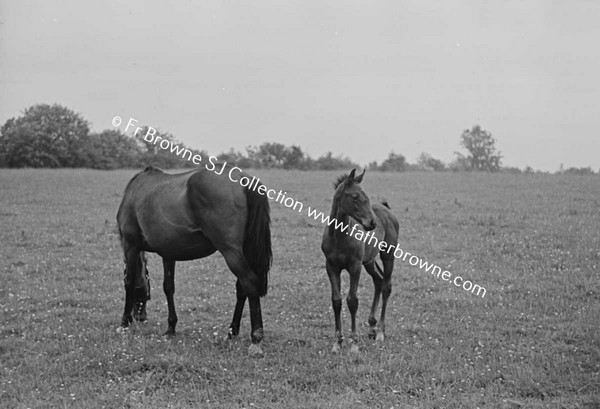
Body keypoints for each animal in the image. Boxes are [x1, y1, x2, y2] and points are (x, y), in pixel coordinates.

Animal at [117, 164, 272, 356]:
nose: (141, 316)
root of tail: (244, 179)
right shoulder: (168, 253)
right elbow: (169, 287)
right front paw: (171, 328)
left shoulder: (130, 246)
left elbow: (129, 282)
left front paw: (124, 322)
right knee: (242, 288)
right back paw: (231, 332)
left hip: (230, 251)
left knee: (249, 283)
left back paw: (255, 340)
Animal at [322, 167, 400, 352]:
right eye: (355, 196)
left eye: (367, 196)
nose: (372, 223)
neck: (339, 236)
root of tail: (387, 210)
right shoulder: (331, 267)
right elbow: (336, 301)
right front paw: (337, 343)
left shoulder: (354, 266)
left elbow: (352, 301)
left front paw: (354, 344)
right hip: (369, 261)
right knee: (378, 280)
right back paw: (372, 327)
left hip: (388, 255)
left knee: (386, 286)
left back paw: (380, 333)